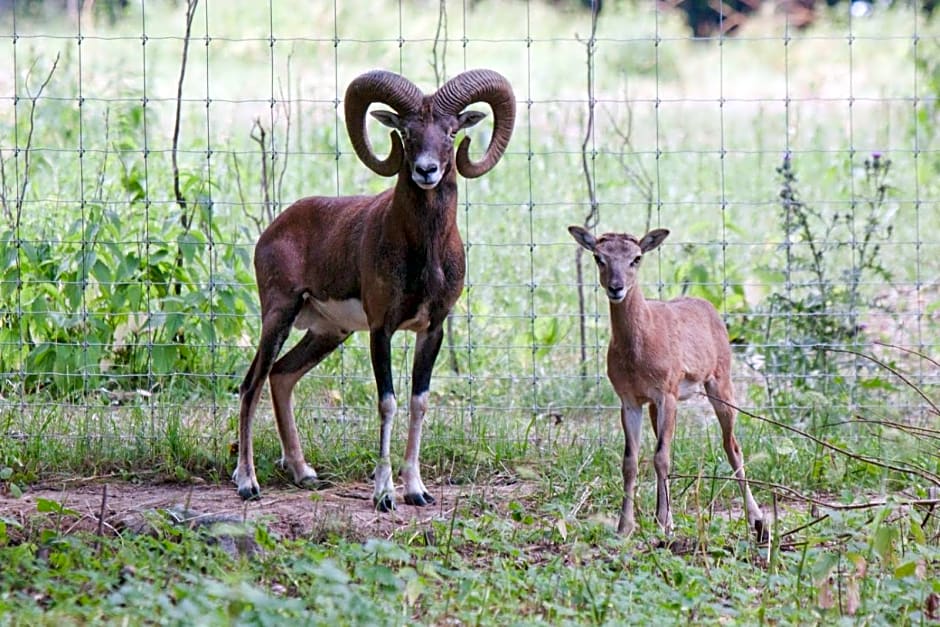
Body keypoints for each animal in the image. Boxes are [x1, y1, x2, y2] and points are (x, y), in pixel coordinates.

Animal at [233, 68, 516, 510]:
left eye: (451, 132)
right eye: (406, 132)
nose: (426, 171)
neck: (425, 255)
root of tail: (273, 231)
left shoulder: (431, 330)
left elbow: (418, 402)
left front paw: (416, 491)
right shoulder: (381, 329)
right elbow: (388, 402)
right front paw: (384, 495)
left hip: (327, 333)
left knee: (281, 376)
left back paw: (303, 473)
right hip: (278, 317)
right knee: (252, 385)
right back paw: (248, 482)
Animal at [564, 224, 764, 540]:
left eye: (636, 258)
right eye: (598, 257)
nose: (616, 287)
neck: (639, 352)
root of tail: (711, 308)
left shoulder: (667, 392)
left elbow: (661, 457)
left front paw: (663, 523)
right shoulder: (629, 399)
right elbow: (631, 461)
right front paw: (625, 527)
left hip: (721, 380)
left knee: (732, 445)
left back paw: (757, 520)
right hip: (659, 405)